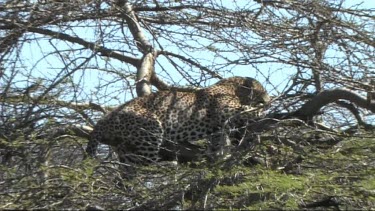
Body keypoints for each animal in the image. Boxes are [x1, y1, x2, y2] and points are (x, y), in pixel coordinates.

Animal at [85, 76, 270, 178]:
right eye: (263, 90)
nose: (268, 99)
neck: (233, 87)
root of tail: (104, 119)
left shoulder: (218, 128)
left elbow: (218, 142)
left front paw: (218, 154)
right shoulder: (226, 110)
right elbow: (246, 110)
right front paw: (263, 110)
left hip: (124, 148)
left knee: (128, 169)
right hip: (151, 129)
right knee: (145, 162)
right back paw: (171, 164)